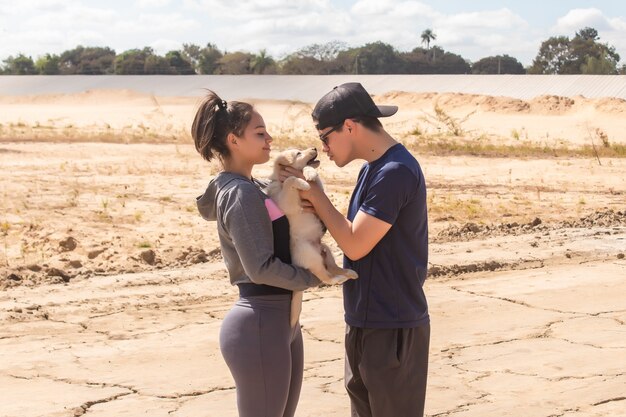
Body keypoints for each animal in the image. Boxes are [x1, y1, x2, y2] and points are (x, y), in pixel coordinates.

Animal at [266, 148, 358, 326]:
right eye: (298, 153)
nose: (315, 148)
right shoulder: (287, 203)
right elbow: (290, 180)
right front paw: (303, 182)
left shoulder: (318, 191)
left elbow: (312, 176)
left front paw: (310, 174)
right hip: (312, 256)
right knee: (324, 277)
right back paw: (339, 279)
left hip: (326, 249)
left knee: (332, 268)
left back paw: (349, 273)